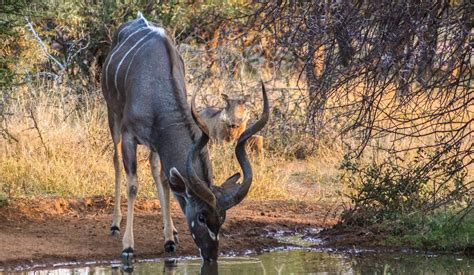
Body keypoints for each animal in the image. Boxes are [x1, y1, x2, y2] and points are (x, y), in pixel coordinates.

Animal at [101, 13, 268, 264]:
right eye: (201, 217)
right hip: (114, 117)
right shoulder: (130, 135)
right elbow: (133, 185)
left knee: (156, 171)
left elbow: (164, 180)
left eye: (223, 218)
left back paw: (171, 231)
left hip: (152, 145)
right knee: (116, 161)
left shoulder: (159, 141)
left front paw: (169, 239)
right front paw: (128, 247)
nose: (210, 255)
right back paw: (114, 225)